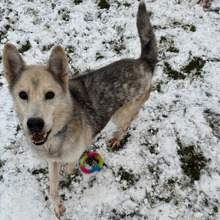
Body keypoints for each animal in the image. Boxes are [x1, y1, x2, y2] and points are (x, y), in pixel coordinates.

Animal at [1, 0, 156, 218]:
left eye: (50, 95)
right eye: (23, 95)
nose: (34, 124)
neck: (57, 134)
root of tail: (144, 62)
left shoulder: (76, 149)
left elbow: (72, 162)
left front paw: (69, 170)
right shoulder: (51, 161)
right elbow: (52, 188)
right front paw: (58, 205)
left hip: (120, 115)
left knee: (129, 120)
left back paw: (118, 137)